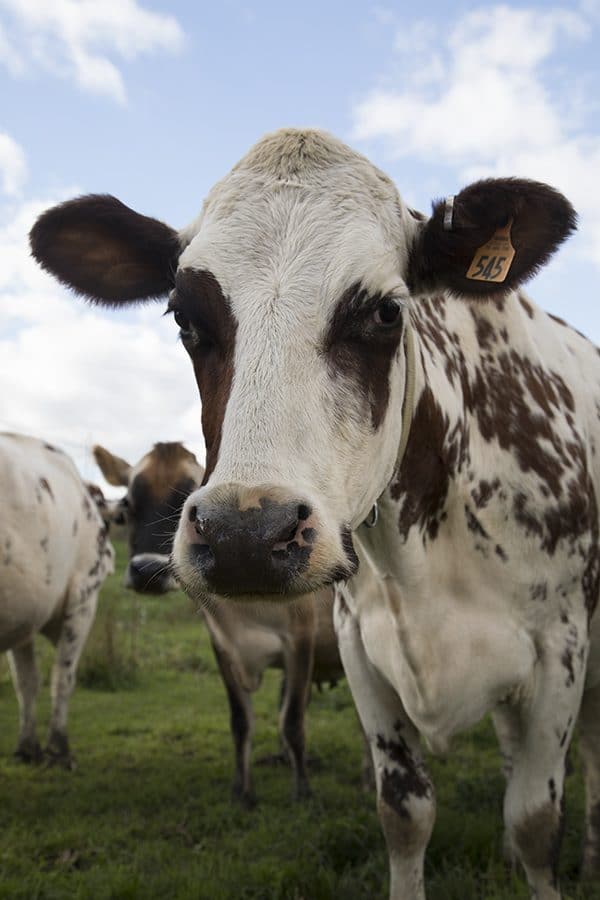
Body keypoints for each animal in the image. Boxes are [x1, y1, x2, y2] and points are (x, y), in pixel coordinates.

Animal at [0, 434, 114, 768]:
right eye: (106, 528)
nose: (111, 557)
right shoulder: (83, 598)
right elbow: (63, 677)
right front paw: (58, 748)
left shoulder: (23, 608)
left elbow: (26, 681)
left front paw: (27, 747)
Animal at [94, 442, 352, 800]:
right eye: (128, 505)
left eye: (186, 496)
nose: (146, 571)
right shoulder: (221, 645)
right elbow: (241, 720)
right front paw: (242, 792)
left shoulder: (302, 640)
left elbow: (293, 721)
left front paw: (303, 793)